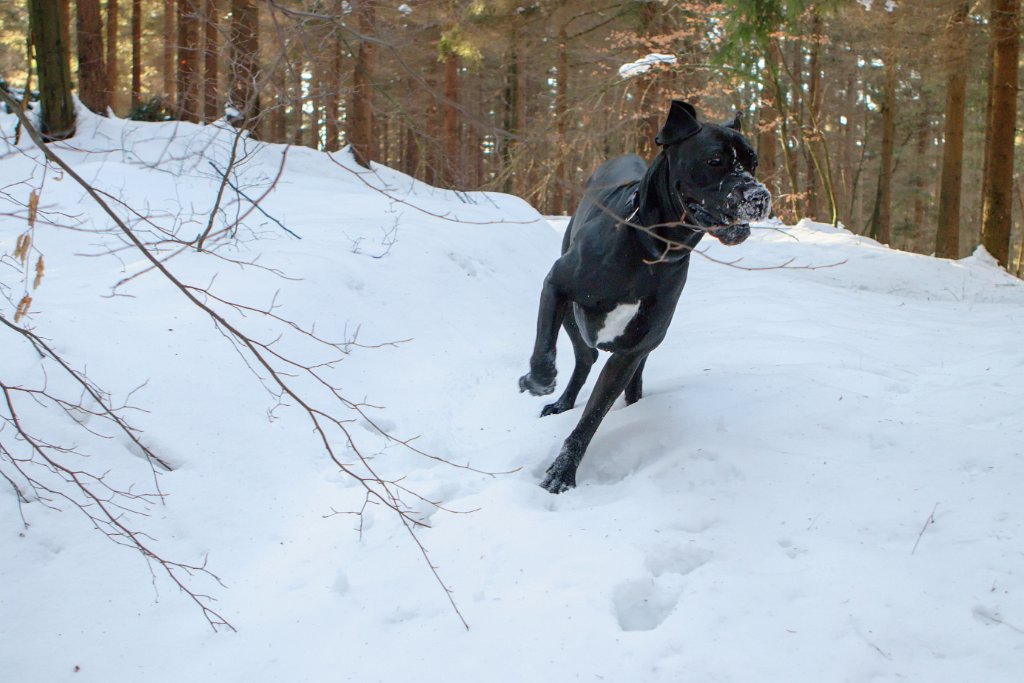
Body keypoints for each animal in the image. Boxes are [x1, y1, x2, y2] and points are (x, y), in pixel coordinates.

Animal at [520, 98, 770, 493]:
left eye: (753, 162)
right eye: (715, 160)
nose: (759, 196)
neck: (651, 248)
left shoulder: (632, 350)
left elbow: (593, 417)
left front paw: (562, 472)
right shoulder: (556, 285)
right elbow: (544, 351)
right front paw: (537, 382)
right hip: (574, 318)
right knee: (584, 357)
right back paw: (561, 401)